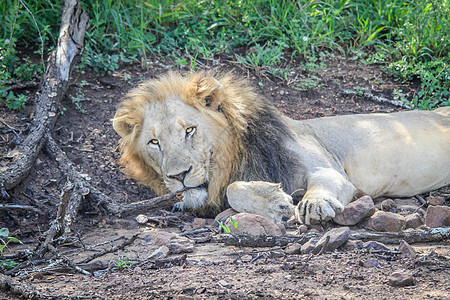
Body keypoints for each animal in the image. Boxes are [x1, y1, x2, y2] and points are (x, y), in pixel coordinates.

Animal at [113, 71, 450, 224]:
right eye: (154, 142)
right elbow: (232, 190)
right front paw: (275, 202)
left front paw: (312, 204)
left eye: (190, 130)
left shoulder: (328, 167)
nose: (178, 176)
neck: (235, 156)